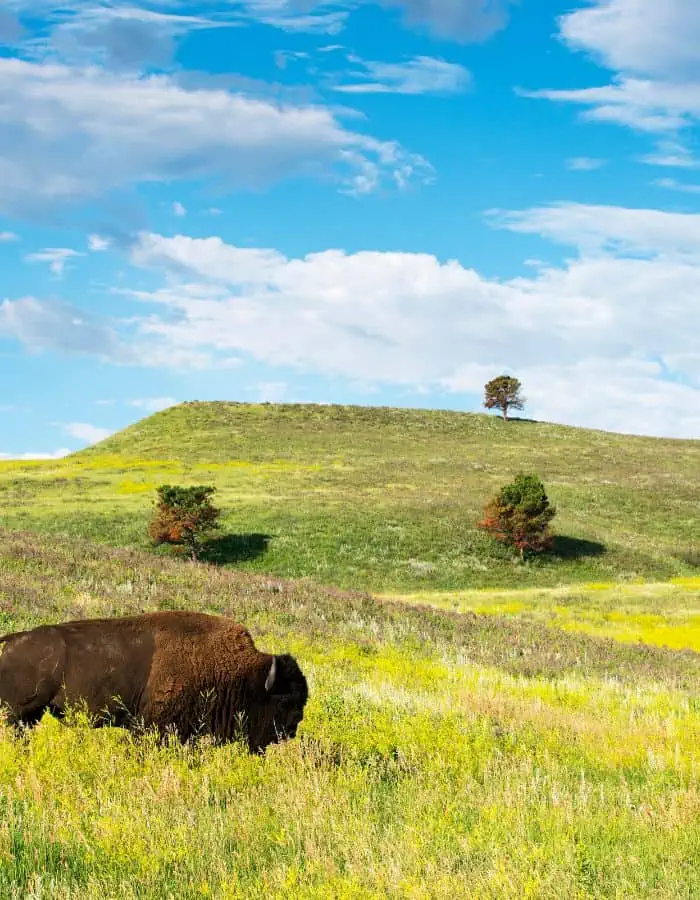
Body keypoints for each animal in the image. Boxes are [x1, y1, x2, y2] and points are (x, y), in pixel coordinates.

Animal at [0, 610, 308, 752]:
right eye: (283, 702)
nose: (293, 728)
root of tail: (11, 641)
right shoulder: (154, 726)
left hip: (31, 716)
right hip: (18, 713)